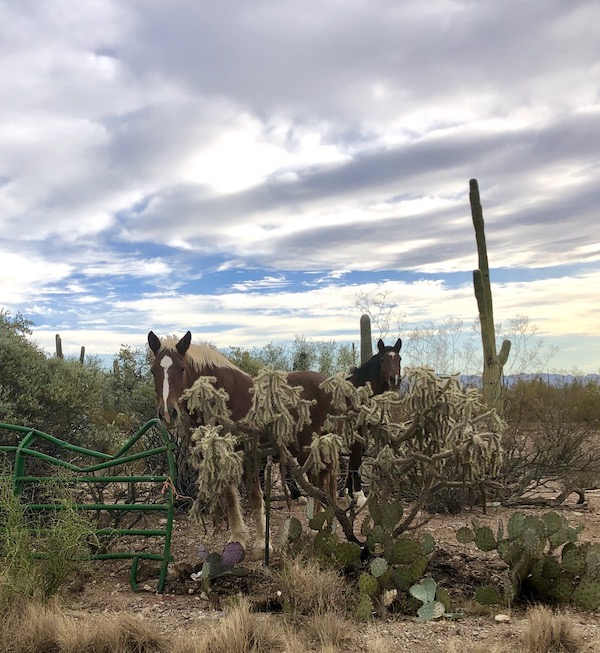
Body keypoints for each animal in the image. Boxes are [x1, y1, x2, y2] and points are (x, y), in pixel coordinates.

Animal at [147, 330, 336, 558]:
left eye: (182, 368)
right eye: (153, 370)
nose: (168, 413)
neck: (223, 399)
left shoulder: (250, 455)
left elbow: (255, 495)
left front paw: (263, 543)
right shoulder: (224, 455)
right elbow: (230, 495)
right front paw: (237, 539)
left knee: (320, 480)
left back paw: (318, 527)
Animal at [345, 337, 402, 506]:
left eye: (399, 359)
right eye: (382, 360)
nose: (394, 380)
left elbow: (353, 459)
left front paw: (348, 492)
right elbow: (356, 459)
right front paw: (359, 495)